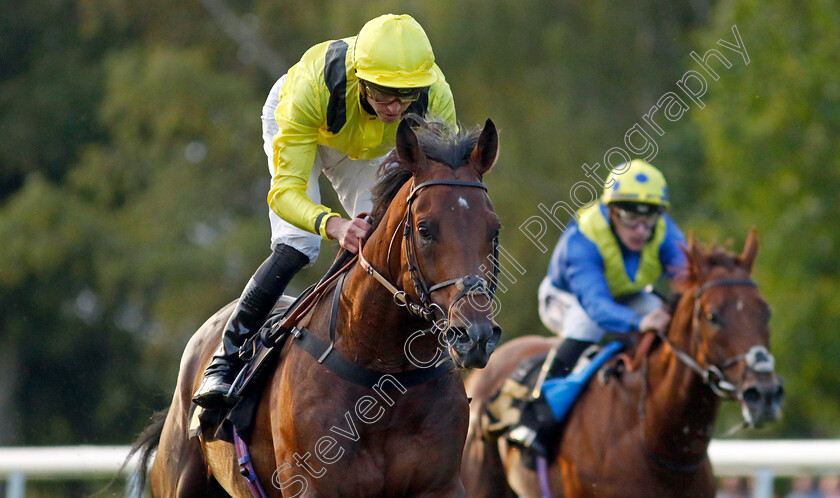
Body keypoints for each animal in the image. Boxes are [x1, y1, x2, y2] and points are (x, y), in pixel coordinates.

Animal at [128, 115, 502, 494]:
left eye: (494, 229)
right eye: (425, 229)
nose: (476, 336)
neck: (383, 370)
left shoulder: (441, 485)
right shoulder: (310, 484)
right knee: (292, 248)